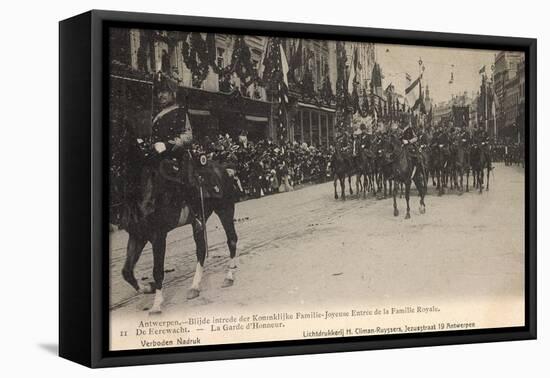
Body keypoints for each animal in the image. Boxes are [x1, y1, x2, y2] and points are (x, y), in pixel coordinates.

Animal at [120, 150, 237, 314]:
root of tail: (224, 169)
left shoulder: (158, 236)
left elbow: (157, 271)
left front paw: (156, 305)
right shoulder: (137, 236)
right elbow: (127, 272)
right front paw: (148, 288)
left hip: (225, 210)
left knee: (231, 240)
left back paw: (229, 277)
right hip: (199, 221)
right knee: (201, 250)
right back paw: (195, 287)